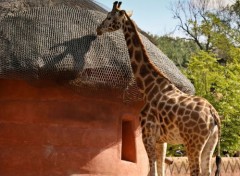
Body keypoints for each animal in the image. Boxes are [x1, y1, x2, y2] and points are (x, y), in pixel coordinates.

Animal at [96, 1, 221, 176]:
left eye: (109, 17)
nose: (98, 29)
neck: (148, 86)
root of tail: (212, 114)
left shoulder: (147, 134)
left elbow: (151, 171)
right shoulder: (162, 140)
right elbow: (160, 171)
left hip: (193, 142)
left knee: (195, 171)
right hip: (210, 143)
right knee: (206, 171)